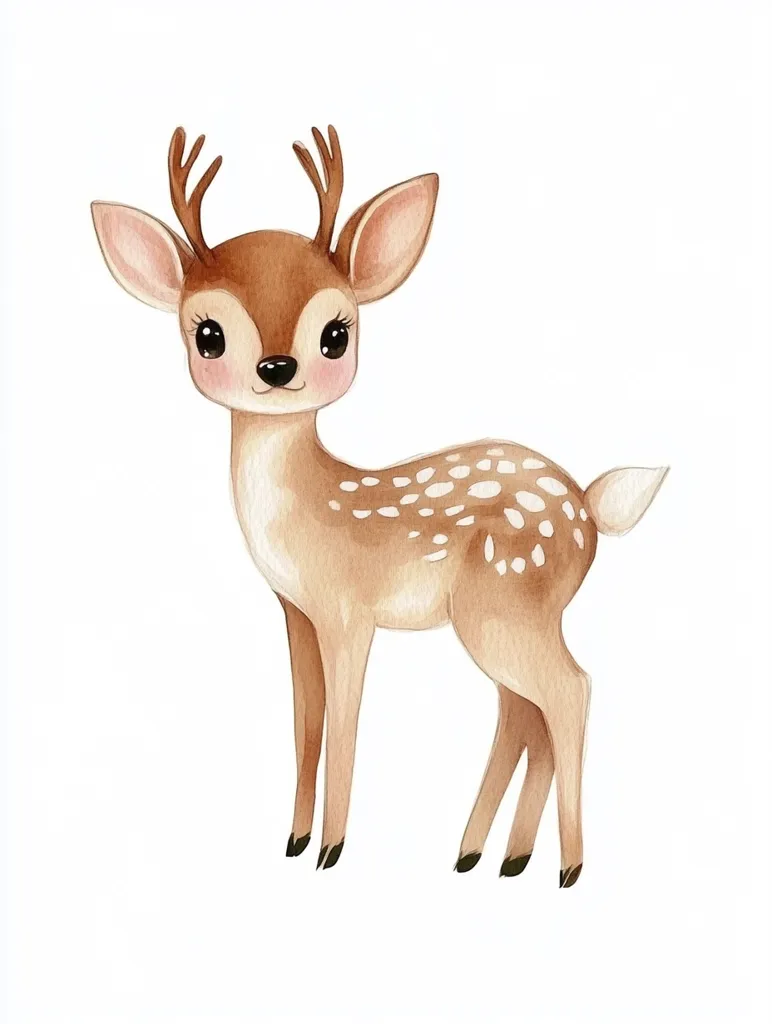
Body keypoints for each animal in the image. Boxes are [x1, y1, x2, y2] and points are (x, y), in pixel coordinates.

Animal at [91, 124, 667, 887]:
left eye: (336, 333)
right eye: (207, 334)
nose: (277, 368)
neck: (307, 511)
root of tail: (590, 505)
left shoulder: (347, 609)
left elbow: (345, 722)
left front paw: (331, 849)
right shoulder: (296, 611)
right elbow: (305, 722)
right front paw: (295, 839)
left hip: (503, 605)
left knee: (569, 691)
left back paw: (565, 867)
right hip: (504, 615)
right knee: (523, 709)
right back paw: (490, 855)